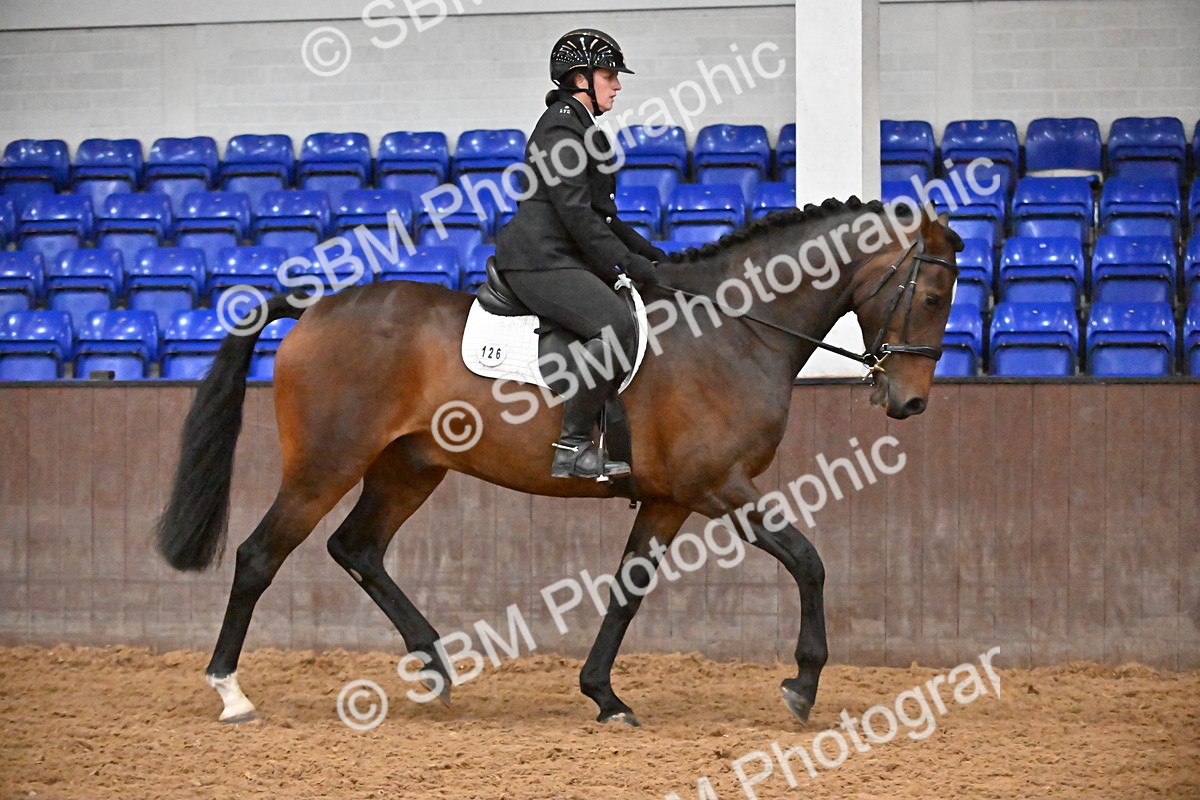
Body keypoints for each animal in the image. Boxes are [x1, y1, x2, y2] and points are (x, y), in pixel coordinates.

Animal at [156, 196, 961, 727]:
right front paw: (803, 685)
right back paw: (230, 691)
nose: (912, 403)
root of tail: (315, 309)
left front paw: (603, 695)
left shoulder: (668, 498)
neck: (732, 331)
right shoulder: (719, 486)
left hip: (408, 467)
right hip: (325, 465)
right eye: (930, 293)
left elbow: (628, 590)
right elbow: (808, 560)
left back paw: (436, 668)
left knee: (356, 548)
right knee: (260, 556)